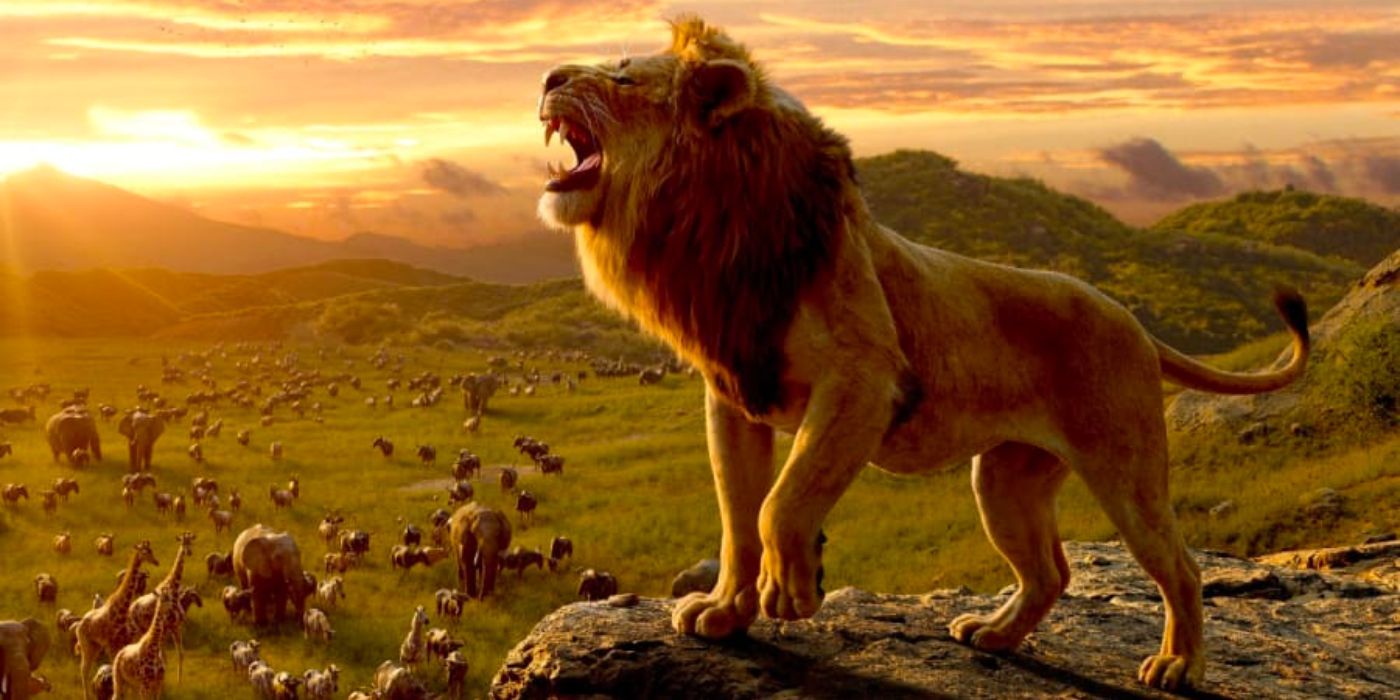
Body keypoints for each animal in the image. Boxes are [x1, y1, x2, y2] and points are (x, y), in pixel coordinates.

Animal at [534, 16, 1309, 691]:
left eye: (623, 78)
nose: (546, 76)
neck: (709, 231)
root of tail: (1135, 323)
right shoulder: (733, 396)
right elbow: (736, 519)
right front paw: (725, 613)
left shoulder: (865, 380)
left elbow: (781, 503)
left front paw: (792, 592)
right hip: (1005, 480)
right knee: (1050, 572)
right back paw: (993, 635)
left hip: (1125, 469)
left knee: (1179, 566)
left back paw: (1177, 665)